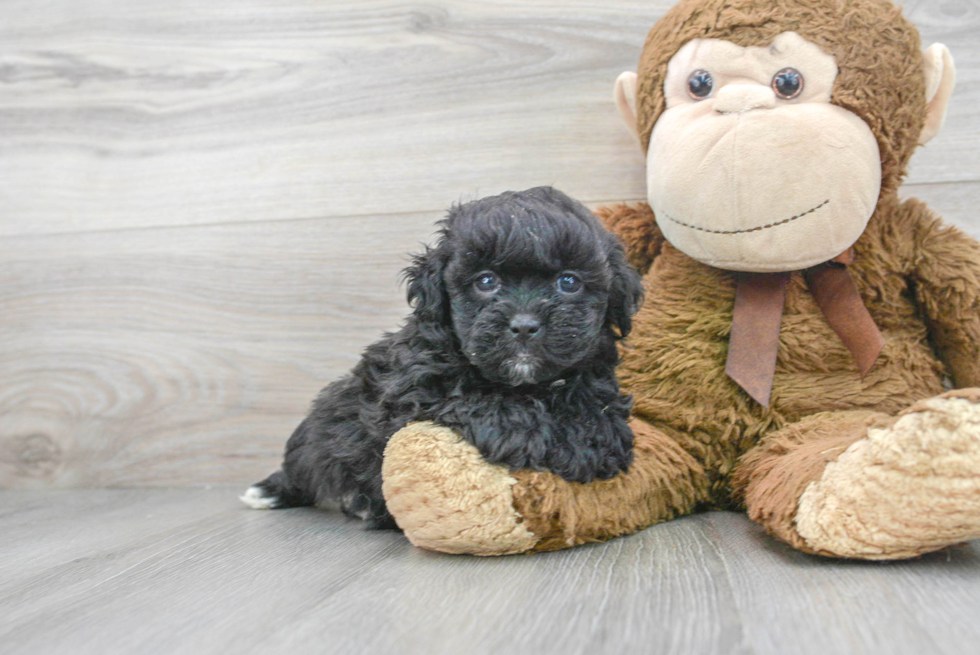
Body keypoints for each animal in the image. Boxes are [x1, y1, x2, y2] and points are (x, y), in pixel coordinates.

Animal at [242, 184, 648, 528]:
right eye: (486, 281)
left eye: (569, 282)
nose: (524, 325)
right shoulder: (411, 388)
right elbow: (475, 396)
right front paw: (537, 433)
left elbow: (592, 398)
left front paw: (593, 436)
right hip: (326, 423)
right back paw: (283, 491)